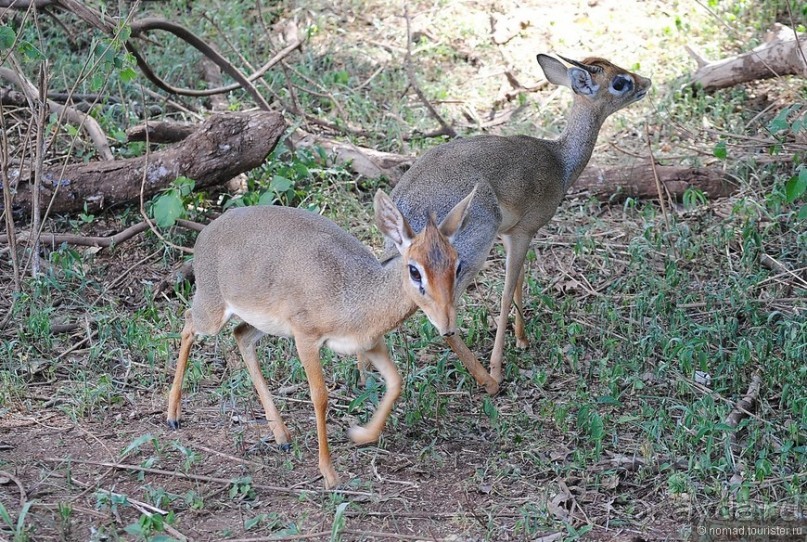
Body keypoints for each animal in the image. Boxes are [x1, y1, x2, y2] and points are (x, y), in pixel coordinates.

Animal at [166, 190, 476, 488]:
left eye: (457, 265)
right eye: (414, 270)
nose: (447, 325)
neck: (355, 294)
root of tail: (207, 232)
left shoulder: (369, 343)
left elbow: (396, 382)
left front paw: (360, 434)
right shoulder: (306, 338)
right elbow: (320, 397)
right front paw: (329, 474)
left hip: (262, 323)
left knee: (240, 335)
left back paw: (282, 436)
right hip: (212, 313)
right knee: (188, 323)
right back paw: (172, 416)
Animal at [388, 54, 652, 386]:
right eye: (619, 82)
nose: (646, 82)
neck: (560, 161)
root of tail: (404, 204)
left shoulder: (511, 233)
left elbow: (519, 282)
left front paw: (522, 339)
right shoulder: (523, 232)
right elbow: (505, 292)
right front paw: (499, 365)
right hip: (467, 256)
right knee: (444, 319)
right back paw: (489, 382)